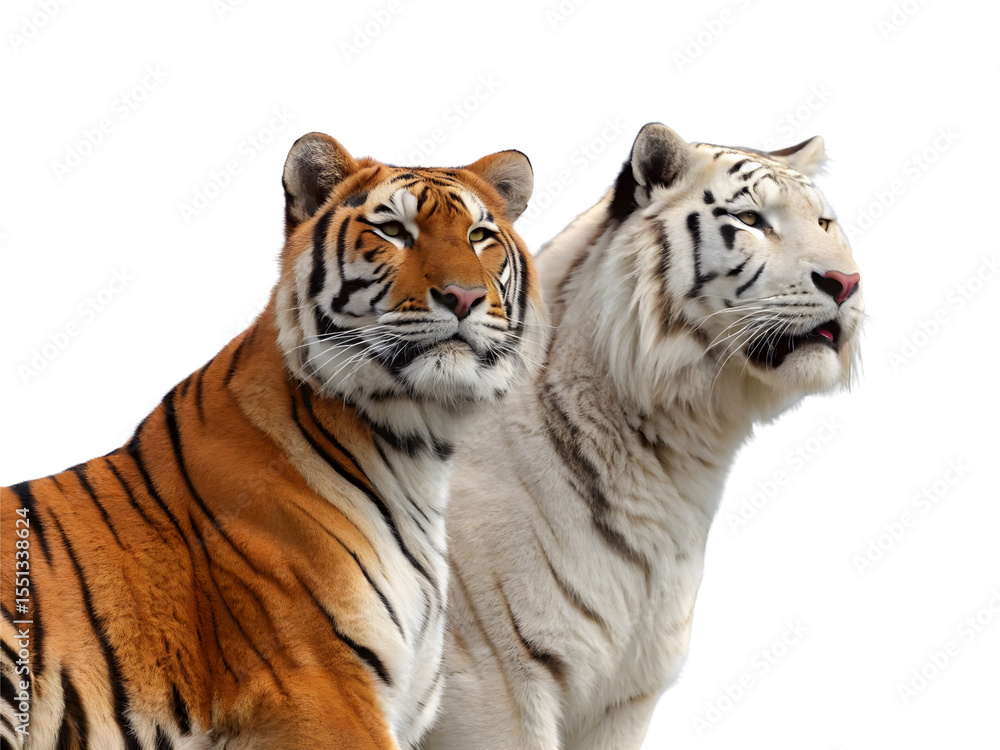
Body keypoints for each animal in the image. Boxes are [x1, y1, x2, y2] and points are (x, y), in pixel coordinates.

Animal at [419, 123, 864, 750]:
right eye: (752, 219)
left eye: (824, 223)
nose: (847, 283)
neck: (674, 455)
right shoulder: (490, 679)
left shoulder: (626, 694)